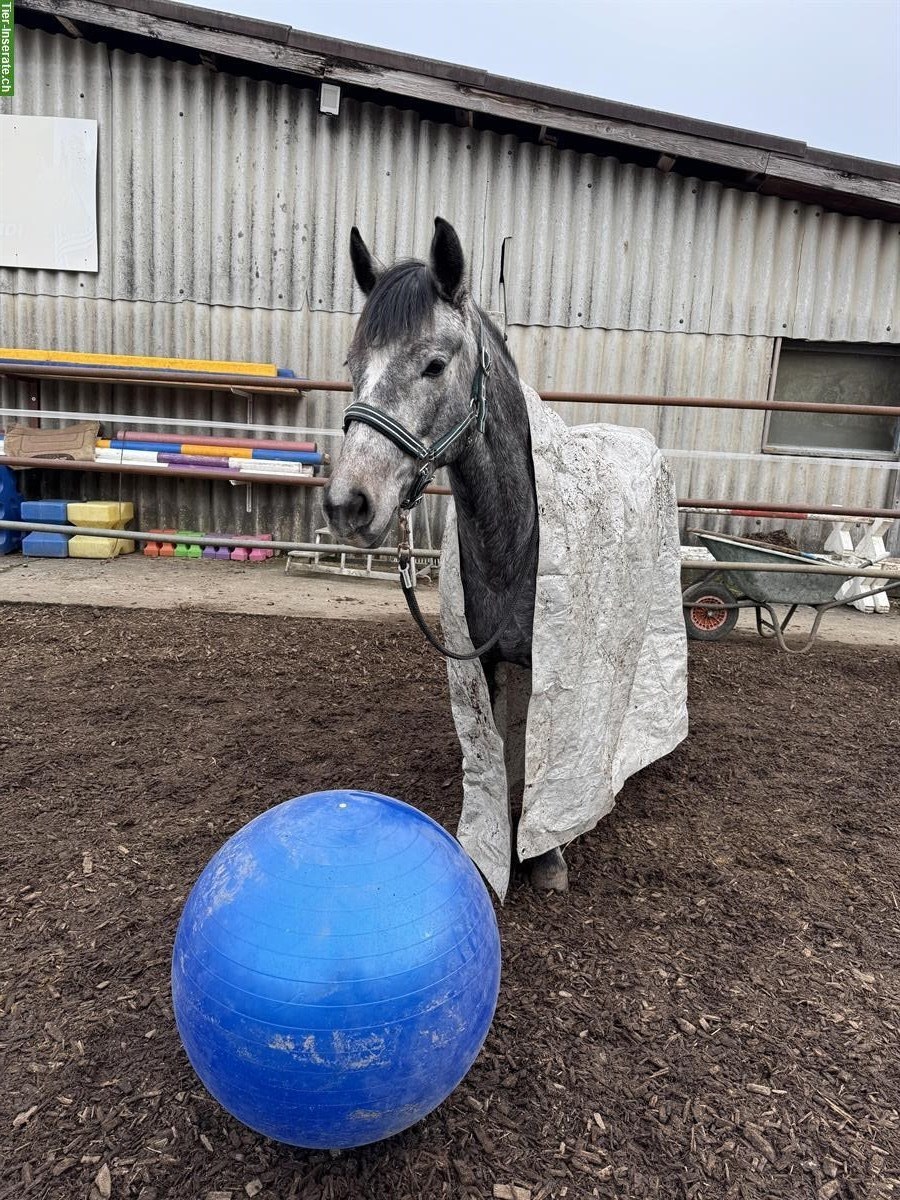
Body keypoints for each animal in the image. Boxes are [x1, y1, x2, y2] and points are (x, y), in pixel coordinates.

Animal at [328, 218, 566, 892]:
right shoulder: (485, 661)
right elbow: (500, 742)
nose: (348, 503)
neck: (515, 542)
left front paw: (544, 853)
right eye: (353, 365)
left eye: (434, 365)